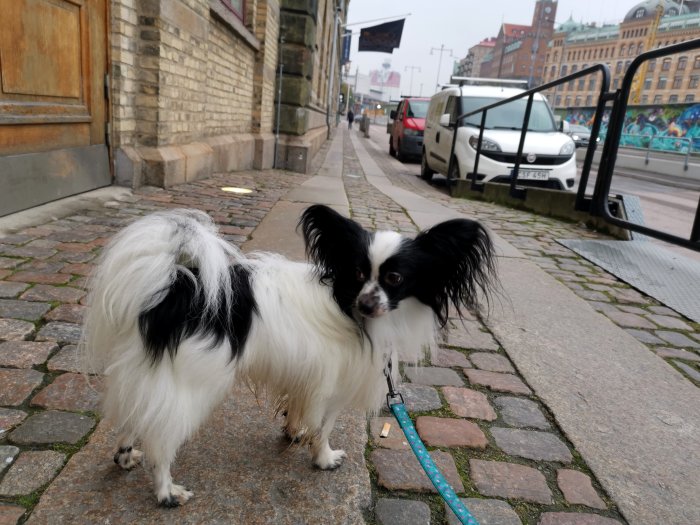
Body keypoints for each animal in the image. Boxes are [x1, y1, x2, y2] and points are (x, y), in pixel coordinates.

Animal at [82, 204, 494, 504]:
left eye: (395, 278)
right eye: (358, 273)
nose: (365, 303)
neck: (348, 308)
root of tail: (174, 289)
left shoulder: (307, 376)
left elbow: (298, 411)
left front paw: (293, 432)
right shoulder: (330, 387)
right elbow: (323, 426)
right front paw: (323, 458)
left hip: (155, 374)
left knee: (135, 415)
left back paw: (125, 456)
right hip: (190, 385)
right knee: (160, 439)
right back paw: (166, 492)